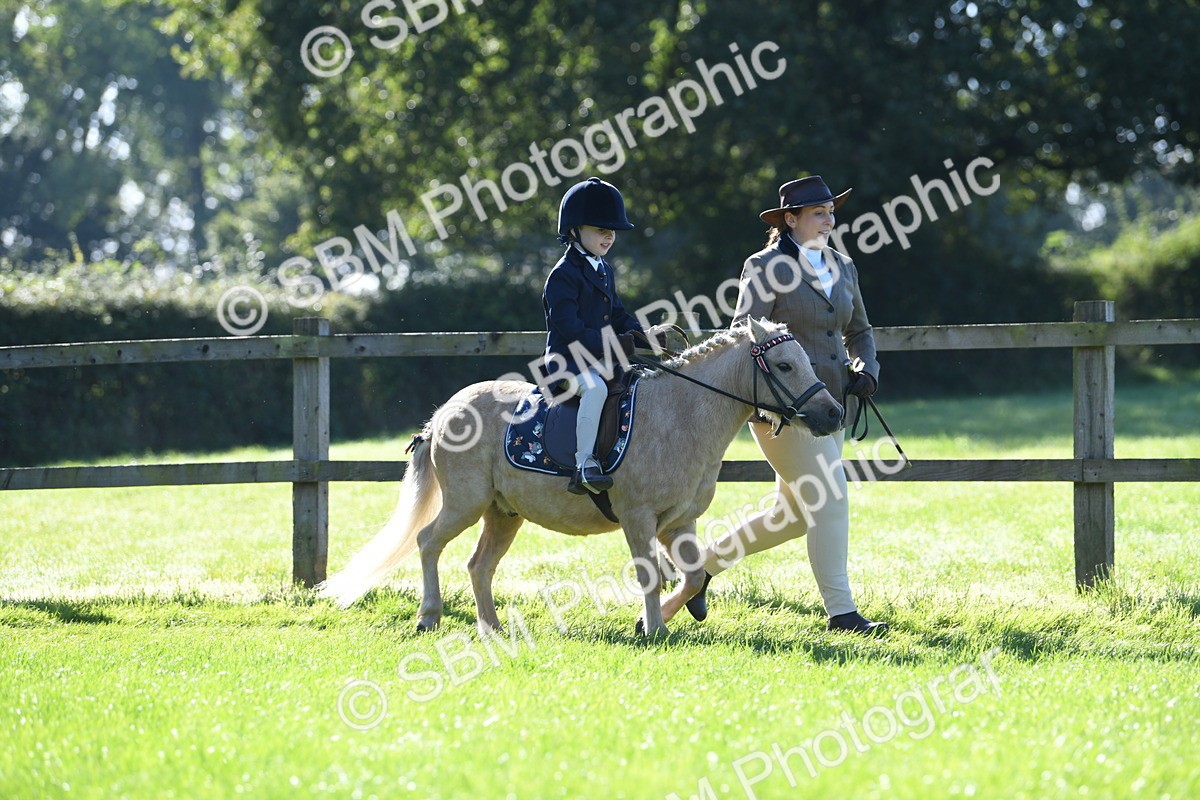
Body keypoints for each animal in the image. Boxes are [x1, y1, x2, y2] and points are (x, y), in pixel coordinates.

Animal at [317, 317, 844, 637]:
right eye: (783, 364)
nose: (833, 414)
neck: (683, 413)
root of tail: (445, 412)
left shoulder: (679, 522)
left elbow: (693, 575)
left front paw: (660, 620)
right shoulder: (638, 517)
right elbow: (650, 574)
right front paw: (654, 630)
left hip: (502, 514)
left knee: (479, 565)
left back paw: (492, 627)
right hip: (465, 503)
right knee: (428, 542)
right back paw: (429, 617)